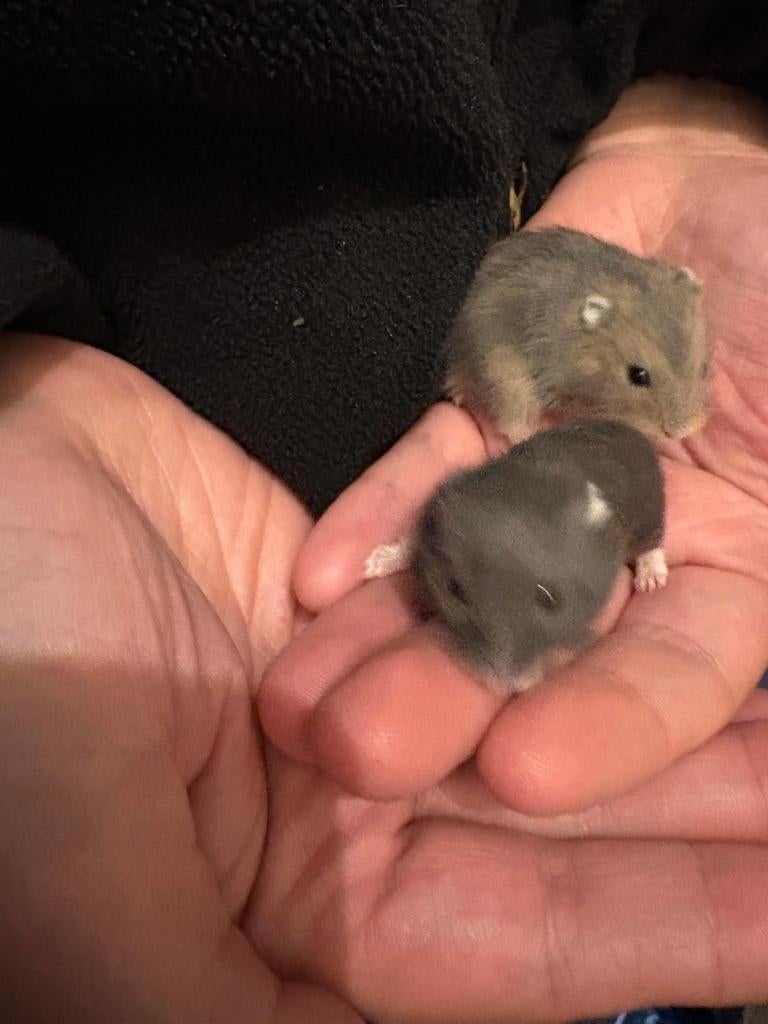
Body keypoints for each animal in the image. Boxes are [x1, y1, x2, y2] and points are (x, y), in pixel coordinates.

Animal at [409, 420, 666, 694]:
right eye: (454, 590)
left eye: (548, 598)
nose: (502, 685)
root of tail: (622, 426)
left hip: (649, 510)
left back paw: (651, 579)